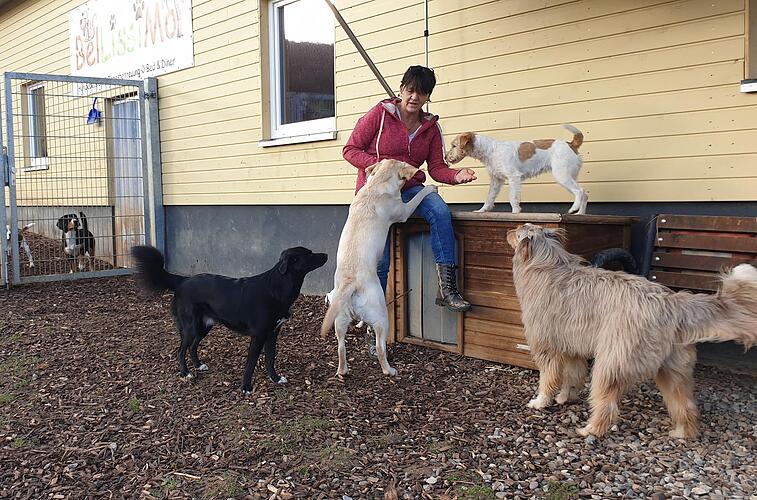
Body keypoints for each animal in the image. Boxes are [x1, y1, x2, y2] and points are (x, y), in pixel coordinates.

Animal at [131, 246, 326, 394]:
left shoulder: (272, 334)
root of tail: (182, 281)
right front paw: (246, 387)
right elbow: (251, 363)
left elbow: (270, 360)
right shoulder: (258, 336)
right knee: (180, 350)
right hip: (191, 327)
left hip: (204, 326)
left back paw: (199, 365)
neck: (277, 287)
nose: (326, 254)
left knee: (192, 347)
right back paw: (185, 373)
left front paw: (275, 379)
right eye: (309, 254)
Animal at [320, 158, 438, 376]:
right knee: (381, 348)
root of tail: (350, 282)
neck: (376, 185)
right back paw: (389, 370)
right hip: (382, 316)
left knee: (341, 348)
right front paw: (430, 188)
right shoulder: (403, 211)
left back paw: (343, 371)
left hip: (339, 321)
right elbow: (416, 198)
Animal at [446, 124, 588, 214]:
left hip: (562, 175)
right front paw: (482, 210)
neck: (491, 150)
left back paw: (573, 209)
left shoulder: (513, 177)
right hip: (569, 176)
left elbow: (512, 197)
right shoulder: (496, 180)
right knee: (584, 194)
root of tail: (571, 144)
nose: (446, 157)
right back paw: (580, 214)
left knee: (580, 191)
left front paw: (515, 212)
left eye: (454, 146)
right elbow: (489, 197)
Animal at [508, 223, 756, 438]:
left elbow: (548, 379)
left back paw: (591, 430)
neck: (546, 262)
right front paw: (564, 397)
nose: (509, 230)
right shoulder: (572, 348)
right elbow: (573, 376)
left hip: (610, 364)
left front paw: (541, 402)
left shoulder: (546, 348)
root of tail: (671, 302)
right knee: (686, 406)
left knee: (607, 406)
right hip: (674, 371)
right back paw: (682, 433)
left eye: (519, 231)